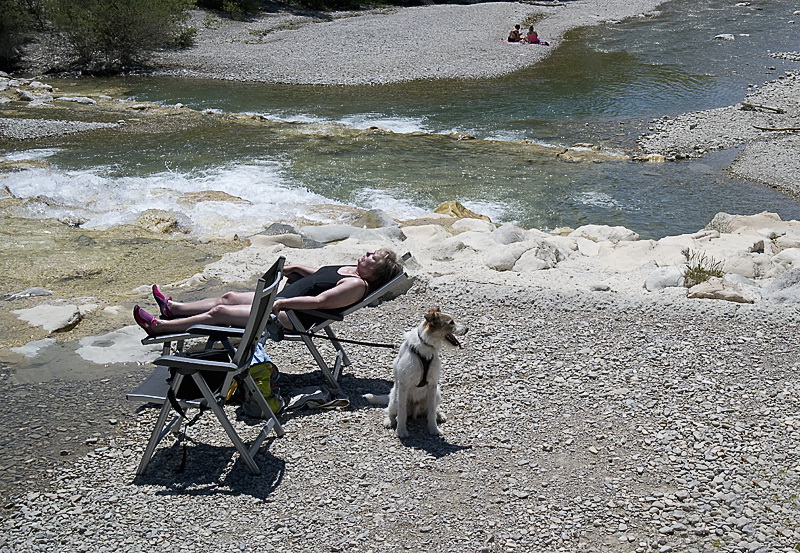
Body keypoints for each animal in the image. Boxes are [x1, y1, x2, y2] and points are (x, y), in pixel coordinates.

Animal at [368, 306, 468, 436]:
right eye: (451, 322)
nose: (467, 329)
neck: (425, 347)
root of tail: (415, 409)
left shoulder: (433, 384)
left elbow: (431, 412)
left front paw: (434, 429)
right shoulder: (403, 385)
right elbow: (401, 413)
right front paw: (401, 431)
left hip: (437, 393)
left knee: (430, 410)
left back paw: (439, 414)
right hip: (395, 398)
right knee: (391, 412)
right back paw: (389, 421)